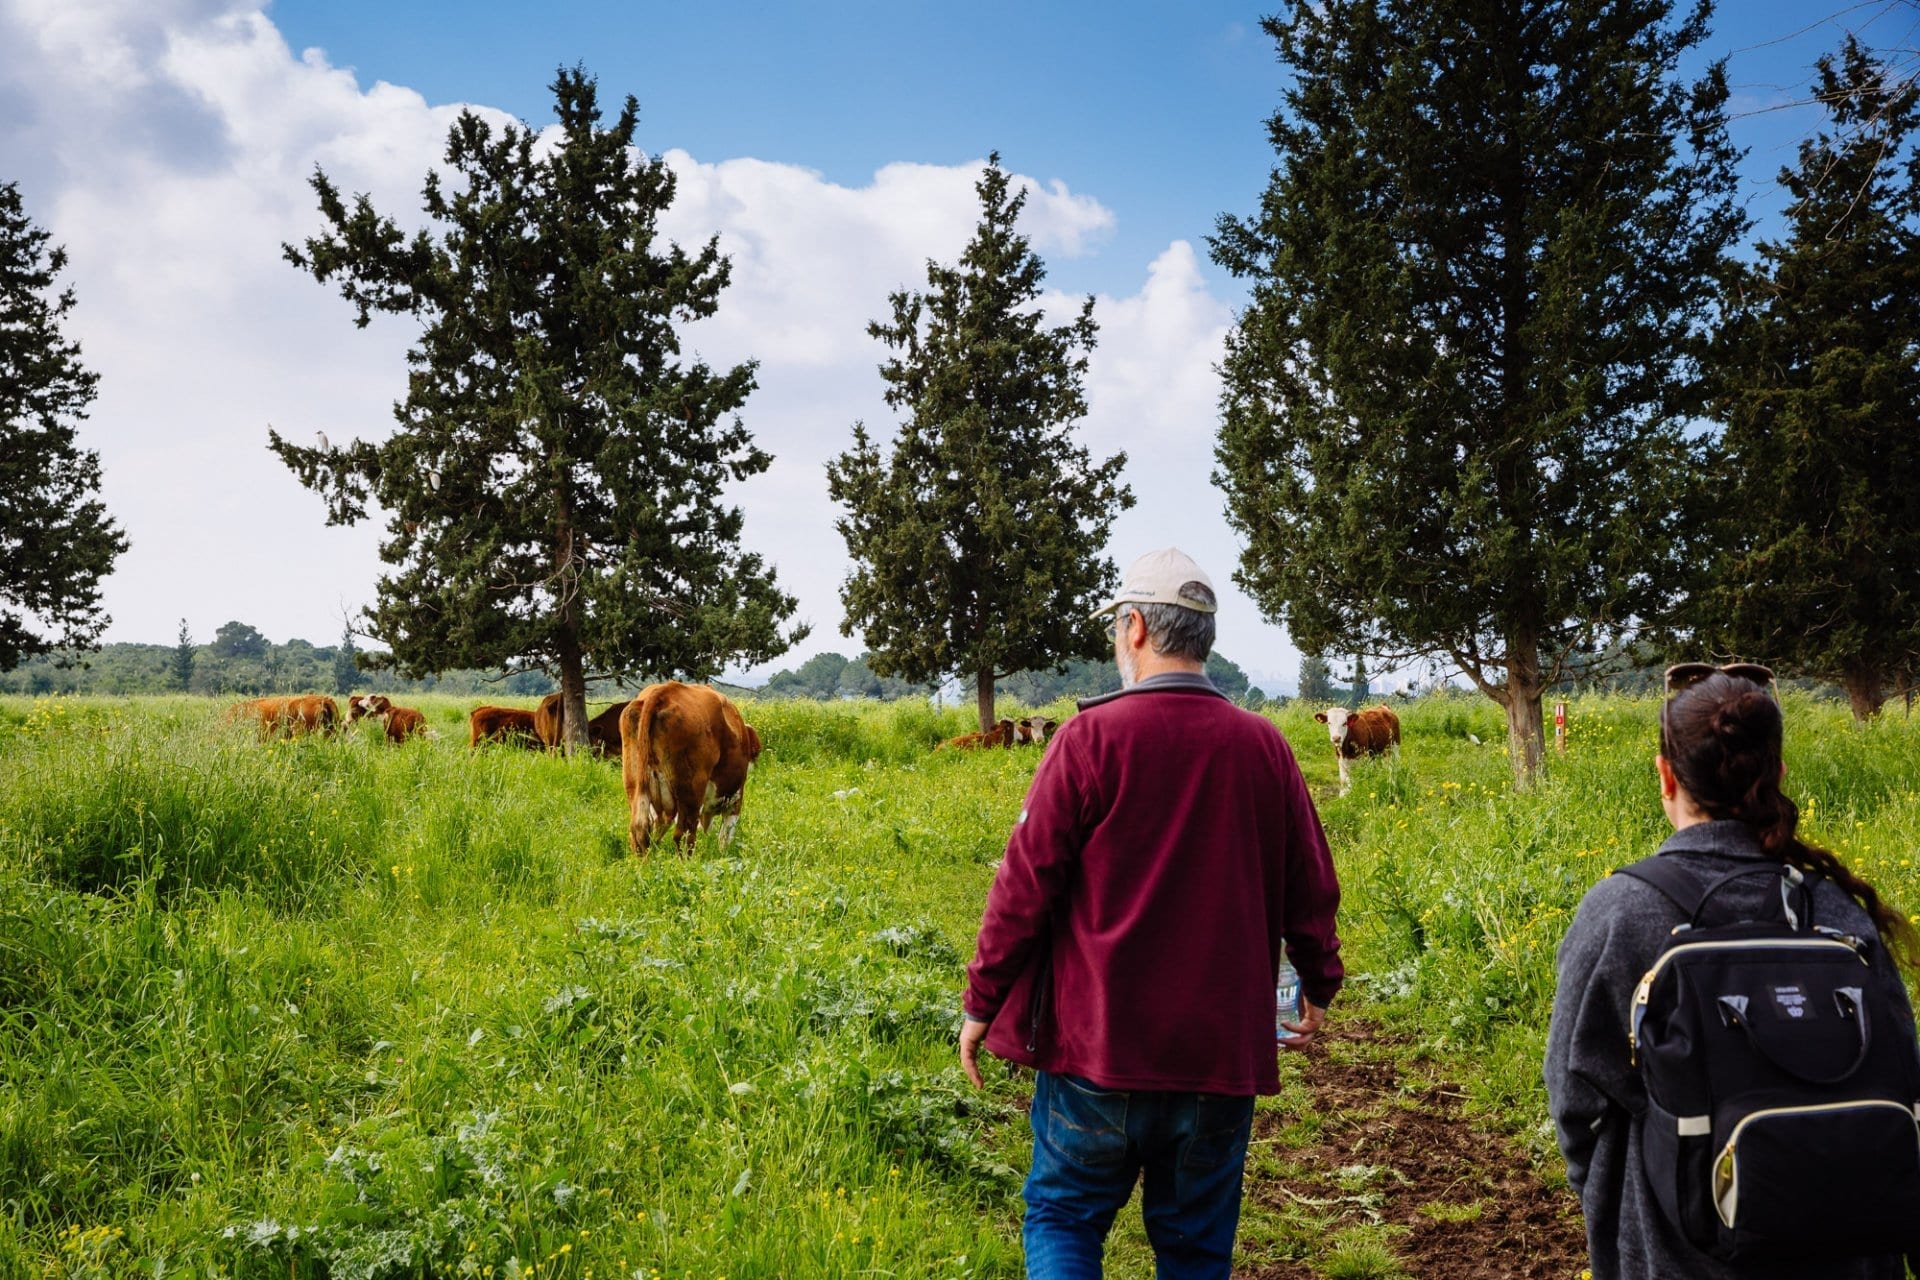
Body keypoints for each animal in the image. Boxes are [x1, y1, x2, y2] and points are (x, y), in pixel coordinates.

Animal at [618, 687, 760, 855]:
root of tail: (664, 691)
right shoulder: (735, 801)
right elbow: (725, 838)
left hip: (636, 786)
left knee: (640, 830)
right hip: (691, 792)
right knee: (684, 835)